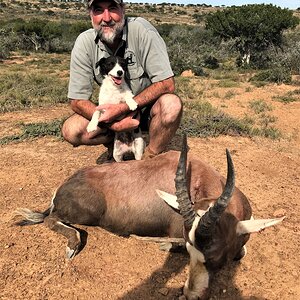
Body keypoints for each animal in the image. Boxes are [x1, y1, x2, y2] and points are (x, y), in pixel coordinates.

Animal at [14, 135, 284, 298]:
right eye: (190, 250)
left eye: (216, 255)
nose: (190, 295)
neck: (200, 176)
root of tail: (62, 188)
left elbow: (242, 252)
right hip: (84, 213)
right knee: (51, 220)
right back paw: (72, 246)